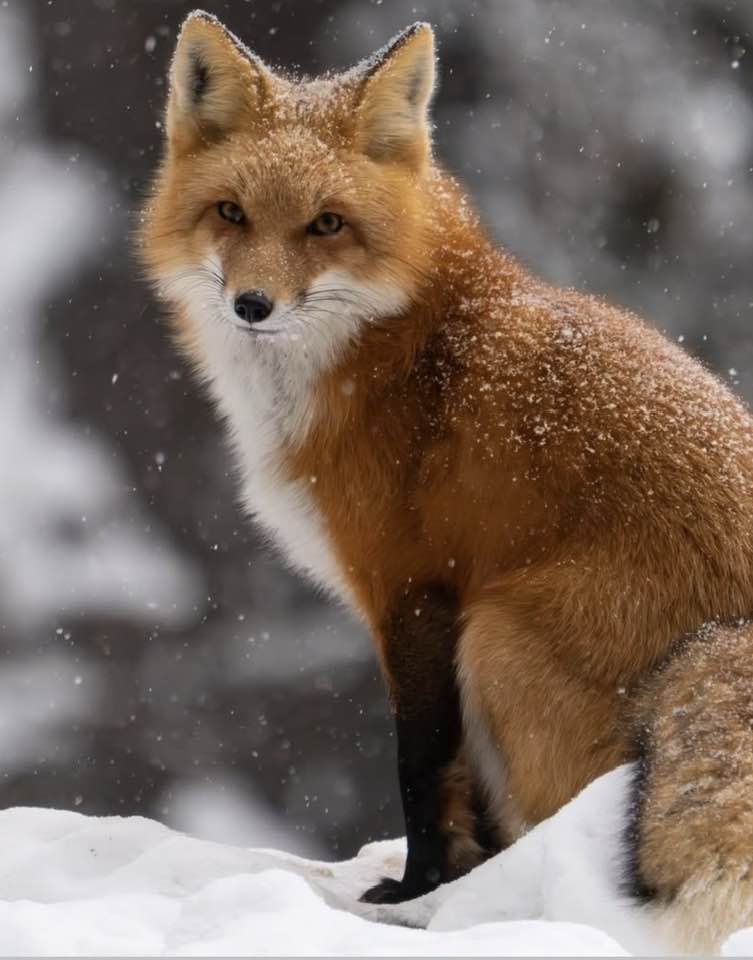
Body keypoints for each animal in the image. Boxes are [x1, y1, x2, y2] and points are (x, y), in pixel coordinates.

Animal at [139, 10, 753, 952]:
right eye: (230, 213)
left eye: (326, 224)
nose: (252, 306)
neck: (399, 344)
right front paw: (450, 886)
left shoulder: (415, 590)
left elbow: (420, 763)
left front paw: (414, 892)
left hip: (496, 637)